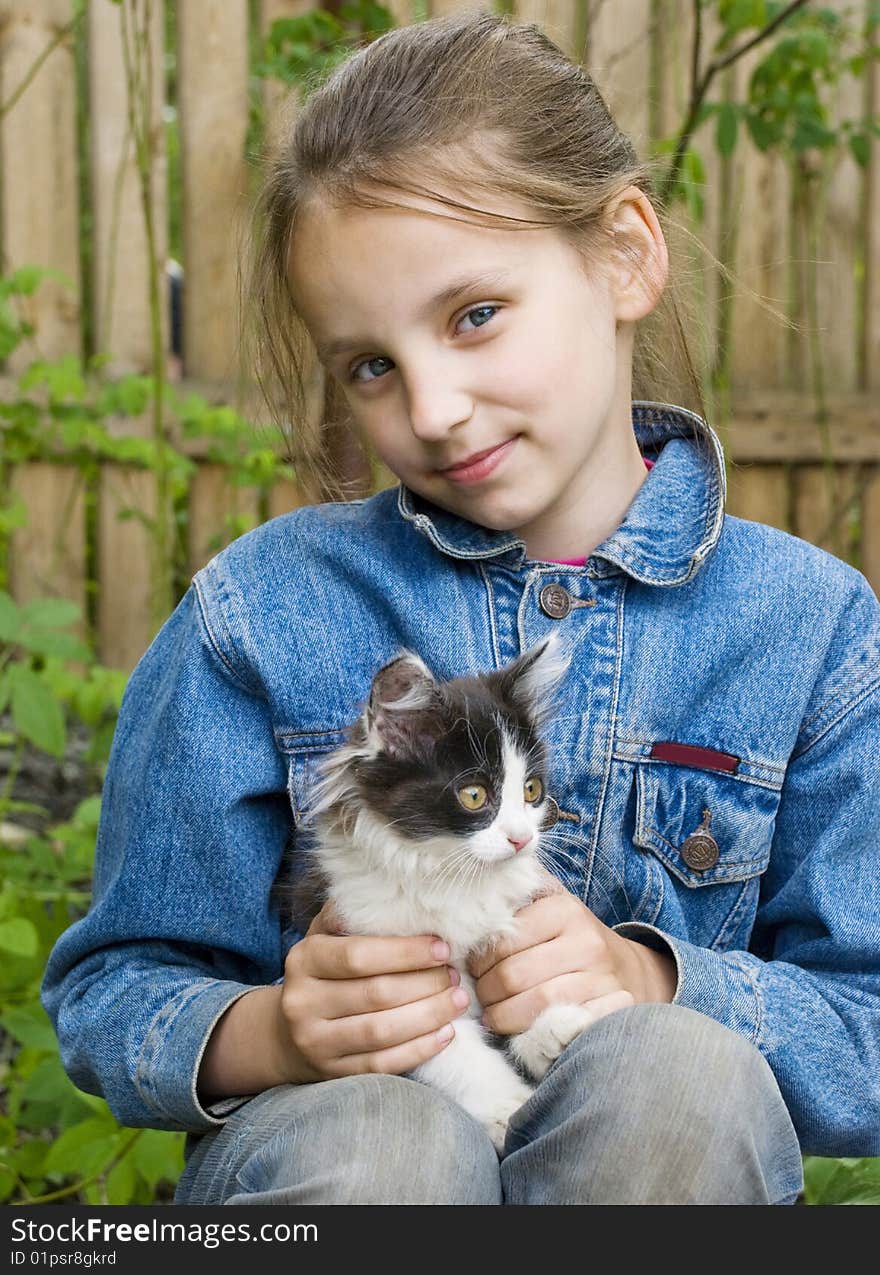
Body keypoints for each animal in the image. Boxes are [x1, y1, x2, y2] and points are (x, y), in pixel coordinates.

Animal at [288, 642, 596, 1152]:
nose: (522, 838)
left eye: (531, 790)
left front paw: (546, 1033)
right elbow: (453, 1049)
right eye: (474, 796)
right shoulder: (393, 971)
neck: (450, 876)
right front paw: (504, 1107)